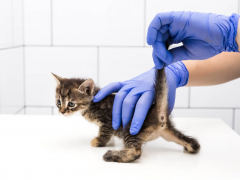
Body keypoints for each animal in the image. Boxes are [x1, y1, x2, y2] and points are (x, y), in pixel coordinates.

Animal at [52, 68, 201, 162]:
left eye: (71, 104)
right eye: (59, 102)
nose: (62, 111)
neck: (91, 103)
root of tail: (158, 113)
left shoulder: (108, 121)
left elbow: (104, 133)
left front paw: (98, 142)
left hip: (130, 129)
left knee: (135, 152)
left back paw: (112, 155)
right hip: (167, 132)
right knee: (193, 143)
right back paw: (190, 147)